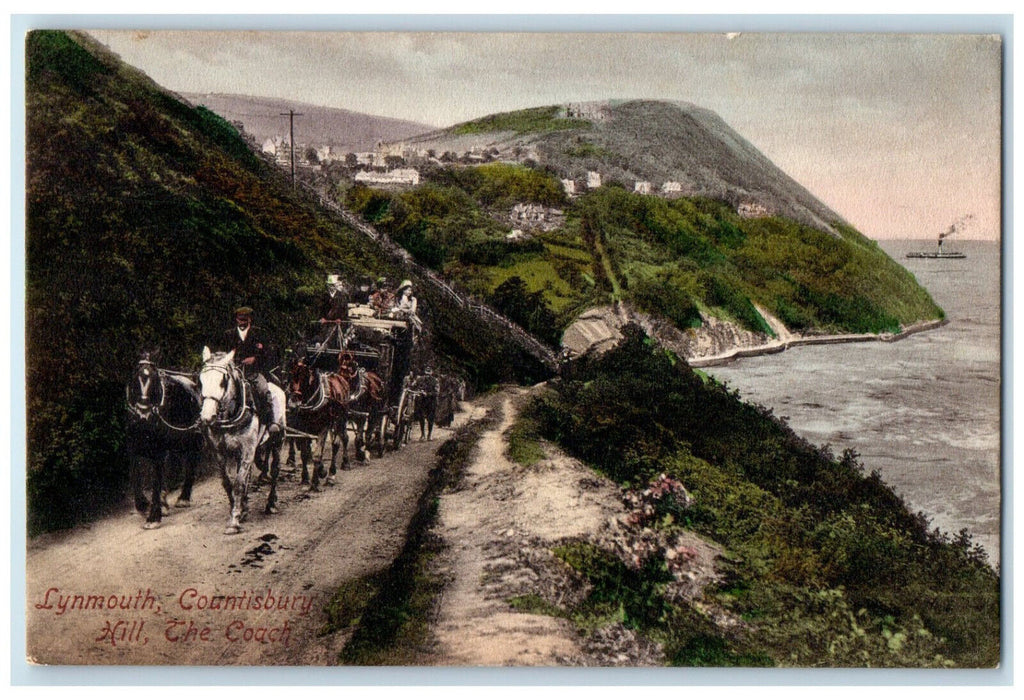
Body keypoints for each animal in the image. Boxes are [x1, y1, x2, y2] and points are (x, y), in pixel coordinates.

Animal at [124, 352, 202, 528]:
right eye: (135, 379)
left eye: (154, 381)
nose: (144, 415)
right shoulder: (134, 448)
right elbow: (135, 474)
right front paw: (143, 505)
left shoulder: (158, 450)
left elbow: (156, 479)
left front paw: (153, 517)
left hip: (192, 438)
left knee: (191, 461)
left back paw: (183, 498)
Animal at [199, 347, 288, 532]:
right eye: (201, 380)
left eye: (222, 381)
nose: (206, 417)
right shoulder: (220, 453)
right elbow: (228, 482)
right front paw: (238, 508)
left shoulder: (247, 450)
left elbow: (239, 483)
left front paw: (234, 519)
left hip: (278, 440)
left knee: (275, 470)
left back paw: (271, 503)